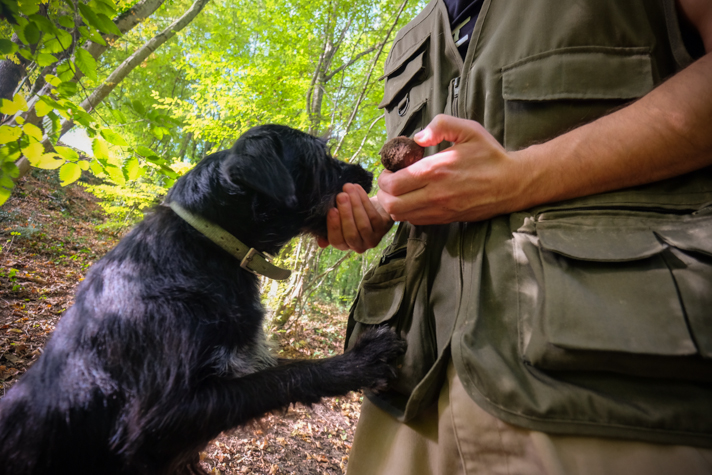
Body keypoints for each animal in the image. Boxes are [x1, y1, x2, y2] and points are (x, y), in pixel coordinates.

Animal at [0, 125, 404, 475]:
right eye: (320, 157)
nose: (370, 173)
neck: (210, 242)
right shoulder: (158, 420)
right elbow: (287, 376)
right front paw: (359, 361)